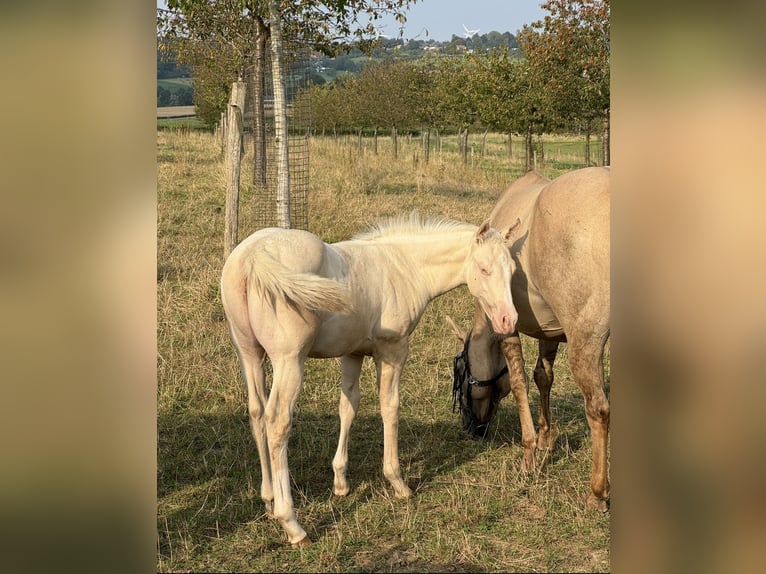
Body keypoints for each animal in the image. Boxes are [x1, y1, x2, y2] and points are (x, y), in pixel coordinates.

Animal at [220, 213, 521, 546]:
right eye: (483, 269)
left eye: (512, 270)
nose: (508, 320)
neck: (403, 265)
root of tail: (253, 257)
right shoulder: (392, 349)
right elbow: (390, 407)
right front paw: (398, 482)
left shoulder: (352, 353)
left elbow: (348, 406)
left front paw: (340, 481)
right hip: (289, 360)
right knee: (277, 421)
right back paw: (292, 524)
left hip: (248, 353)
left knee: (257, 413)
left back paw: (270, 499)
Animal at [448, 167, 611, 512]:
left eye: (461, 375)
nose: (470, 428)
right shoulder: (549, 332)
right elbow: (542, 377)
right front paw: (546, 438)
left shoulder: (505, 326)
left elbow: (519, 382)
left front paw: (529, 454)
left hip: (585, 341)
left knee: (599, 408)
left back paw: (597, 492)